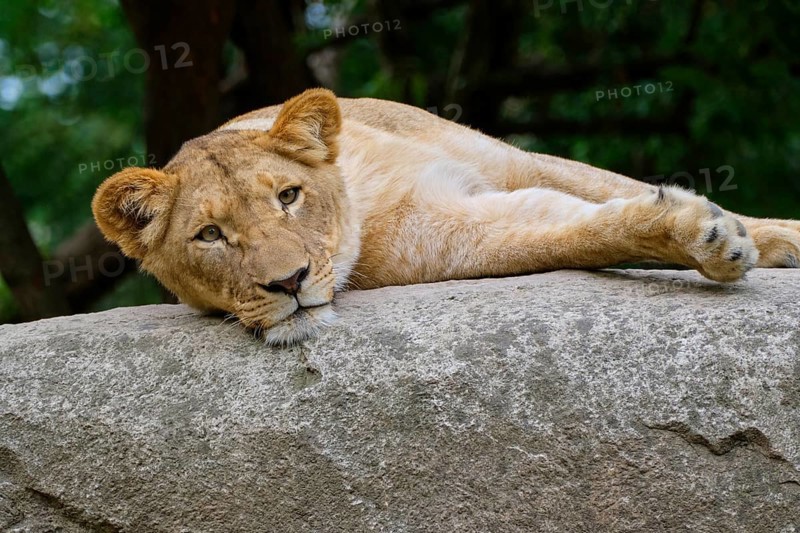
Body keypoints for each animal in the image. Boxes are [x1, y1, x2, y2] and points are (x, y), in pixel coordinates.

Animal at [92, 88, 800, 344]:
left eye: (288, 196)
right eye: (210, 235)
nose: (288, 283)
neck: (360, 192)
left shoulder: (512, 161)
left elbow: (609, 187)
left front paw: (763, 235)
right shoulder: (453, 238)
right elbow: (580, 228)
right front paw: (704, 236)